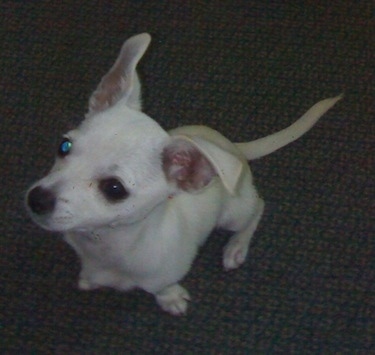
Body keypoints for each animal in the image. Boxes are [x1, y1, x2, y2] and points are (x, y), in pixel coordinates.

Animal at [25, 33, 344, 314]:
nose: (36, 199)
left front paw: (171, 299)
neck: (105, 245)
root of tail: (232, 147)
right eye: (64, 146)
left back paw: (236, 246)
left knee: (257, 210)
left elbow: (162, 288)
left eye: (114, 189)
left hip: (234, 213)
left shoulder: (166, 274)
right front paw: (89, 280)